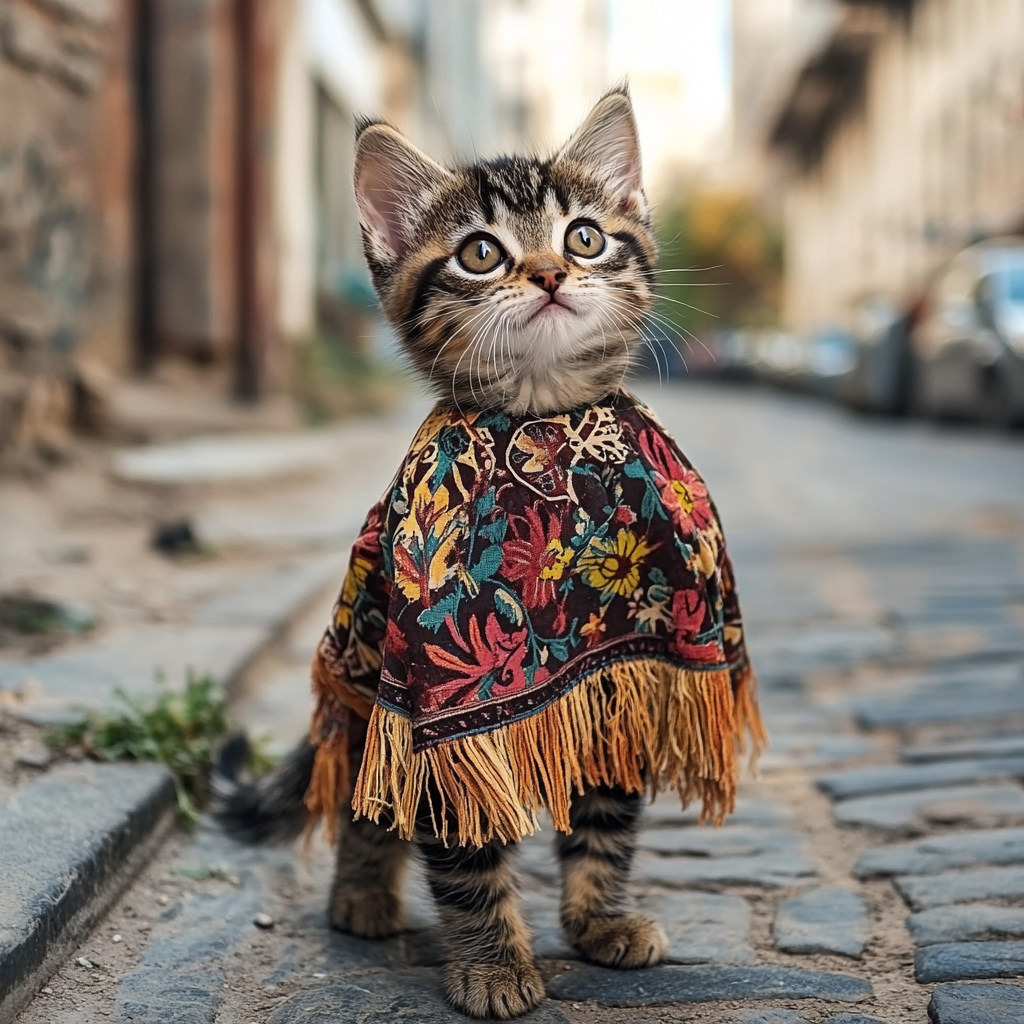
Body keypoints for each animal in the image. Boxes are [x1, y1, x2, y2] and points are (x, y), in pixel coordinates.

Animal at [215, 90, 663, 1024]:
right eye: (481, 253)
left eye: (584, 237)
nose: (551, 274)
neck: (541, 429)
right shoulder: (435, 714)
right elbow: (464, 855)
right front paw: (494, 966)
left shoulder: (614, 676)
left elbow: (605, 816)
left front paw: (600, 920)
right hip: (370, 702)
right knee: (364, 804)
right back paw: (361, 897)